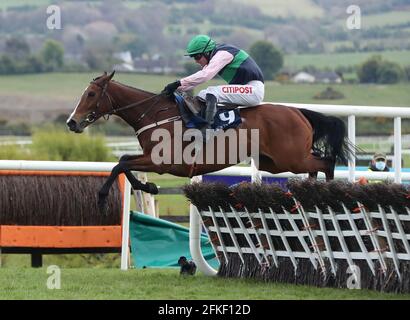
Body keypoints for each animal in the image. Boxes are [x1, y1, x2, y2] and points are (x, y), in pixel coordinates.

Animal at [65, 71, 350, 214]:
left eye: (91, 94)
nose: (72, 122)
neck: (155, 114)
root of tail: (298, 112)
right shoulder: (152, 159)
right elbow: (124, 162)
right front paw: (149, 187)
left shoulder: (161, 162)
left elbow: (120, 165)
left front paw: (102, 198)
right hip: (276, 162)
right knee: (317, 165)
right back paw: (311, 193)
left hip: (289, 158)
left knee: (326, 162)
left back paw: (328, 194)